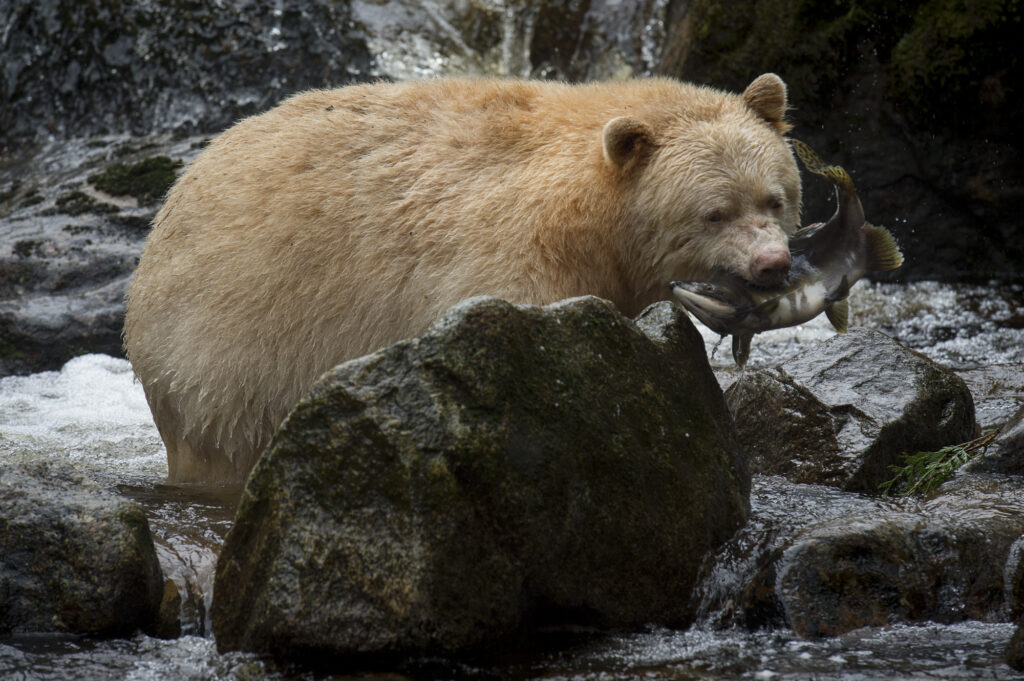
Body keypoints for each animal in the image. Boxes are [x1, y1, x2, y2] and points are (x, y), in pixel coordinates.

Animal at [124, 74, 802, 484]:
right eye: (714, 213)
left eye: (775, 197)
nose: (773, 264)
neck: (588, 218)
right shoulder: (508, 256)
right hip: (227, 358)